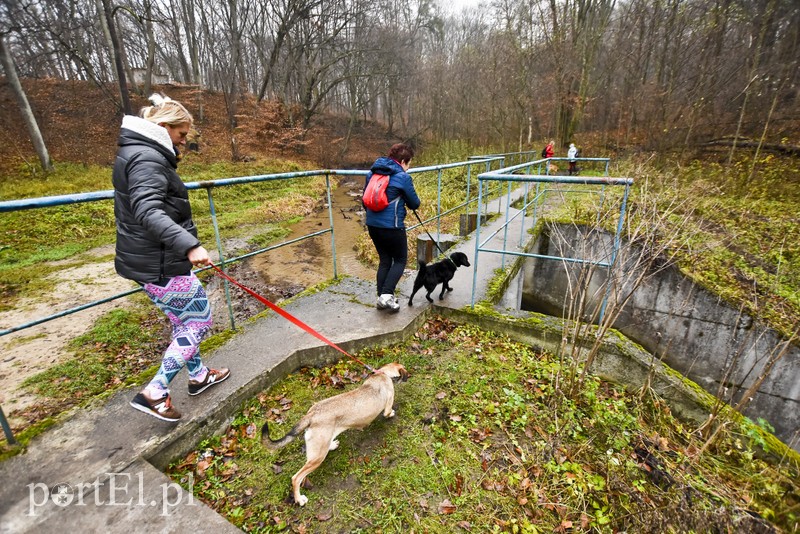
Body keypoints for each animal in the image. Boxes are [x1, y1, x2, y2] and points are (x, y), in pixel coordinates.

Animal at [262, 362, 410, 508]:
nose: (410, 376)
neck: (384, 373)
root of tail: (311, 415)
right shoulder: (388, 403)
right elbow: (388, 412)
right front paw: (391, 414)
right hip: (317, 457)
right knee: (296, 478)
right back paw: (299, 499)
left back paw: (332, 445)